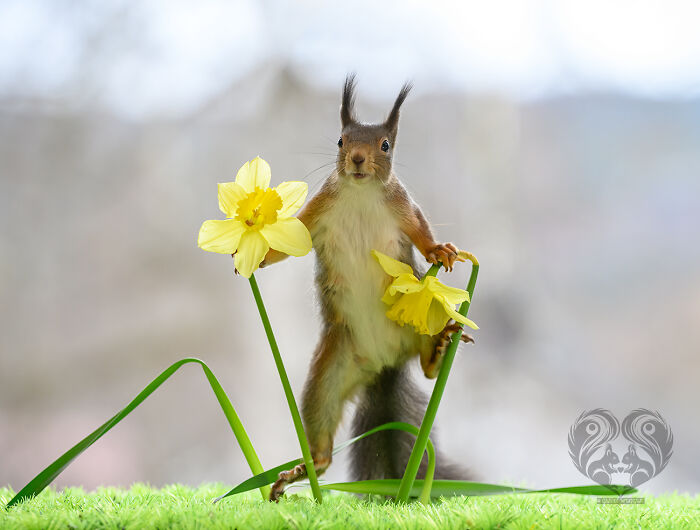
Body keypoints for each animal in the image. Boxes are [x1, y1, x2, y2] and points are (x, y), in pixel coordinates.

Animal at [262, 75, 472, 501]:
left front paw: (439, 250)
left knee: (427, 369)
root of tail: (384, 365)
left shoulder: (403, 205)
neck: (360, 194)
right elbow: (290, 241)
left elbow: (420, 232)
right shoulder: (318, 208)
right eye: (341, 141)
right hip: (328, 375)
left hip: (422, 323)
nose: (358, 158)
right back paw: (301, 470)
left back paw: (441, 346)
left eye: (385, 145)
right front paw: (257, 250)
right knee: (322, 438)